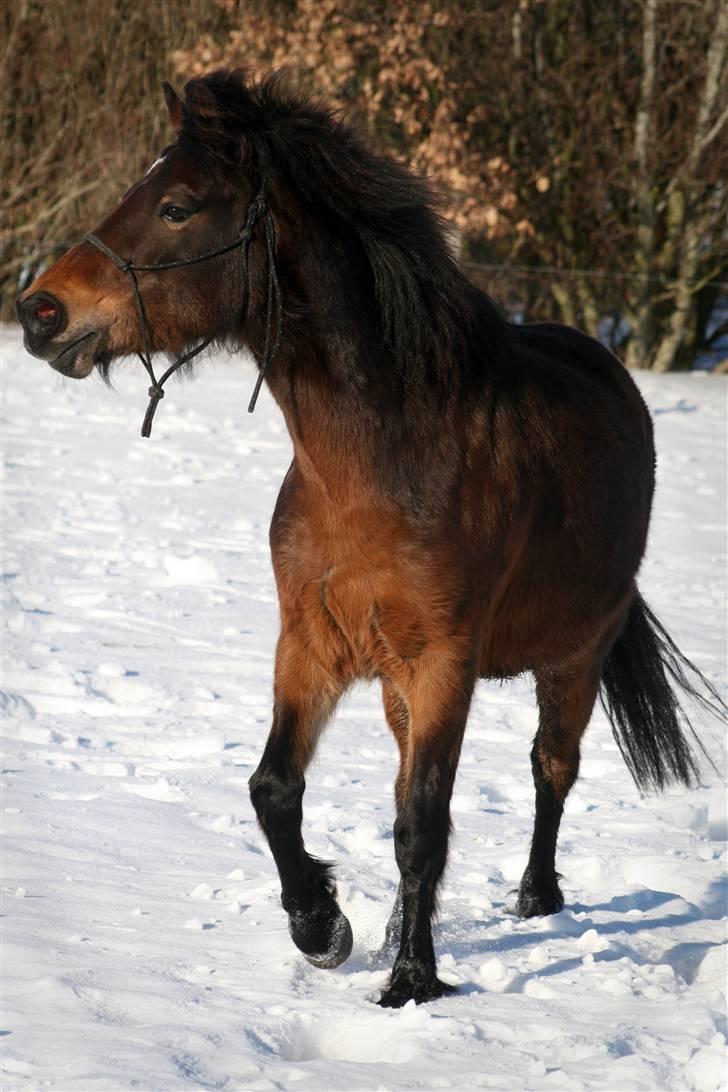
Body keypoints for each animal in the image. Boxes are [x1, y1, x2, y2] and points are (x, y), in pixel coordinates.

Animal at [17, 68, 724, 1004]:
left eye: (175, 206)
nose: (39, 313)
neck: (381, 465)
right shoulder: (312, 644)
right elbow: (277, 789)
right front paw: (323, 926)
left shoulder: (444, 663)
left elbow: (424, 822)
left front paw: (411, 981)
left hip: (575, 655)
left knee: (551, 769)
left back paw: (536, 898)